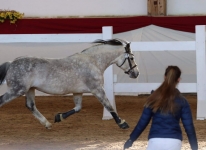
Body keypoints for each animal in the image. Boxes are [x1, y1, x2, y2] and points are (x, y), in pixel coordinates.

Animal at [0, 39, 140, 130]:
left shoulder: (78, 91)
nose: (136, 73)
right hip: (17, 90)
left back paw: (47, 124)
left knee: (31, 106)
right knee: (3, 101)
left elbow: (77, 108)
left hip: (30, 89)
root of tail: (11, 63)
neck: (93, 62)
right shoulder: (97, 89)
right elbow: (109, 106)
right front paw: (122, 123)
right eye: (132, 57)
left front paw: (59, 117)